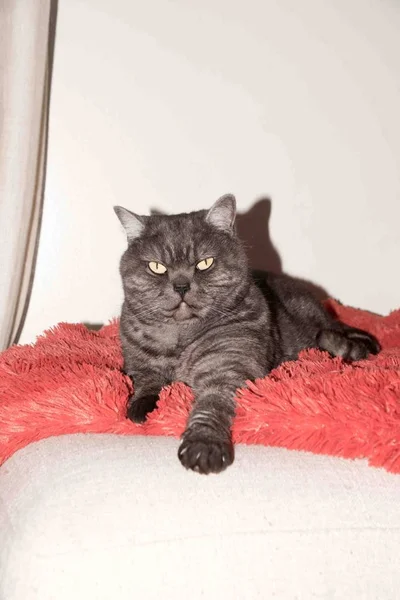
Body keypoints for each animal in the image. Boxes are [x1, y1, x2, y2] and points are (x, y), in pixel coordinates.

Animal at [114, 193, 380, 474]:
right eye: (157, 267)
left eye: (204, 263)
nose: (181, 286)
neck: (180, 337)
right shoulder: (139, 364)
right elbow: (146, 382)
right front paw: (141, 406)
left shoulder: (227, 365)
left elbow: (212, 404)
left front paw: (203, 446)